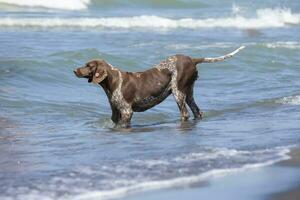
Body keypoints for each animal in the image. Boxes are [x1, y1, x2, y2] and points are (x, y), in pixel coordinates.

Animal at [74, 46, 245, 127]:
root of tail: (191, 59)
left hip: (178, 93)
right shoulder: (115, 113)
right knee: (198, 112)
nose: (74, 70)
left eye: (88, 66)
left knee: (185, 114)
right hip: (188, 93)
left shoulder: (127, 111)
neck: (112, 82)